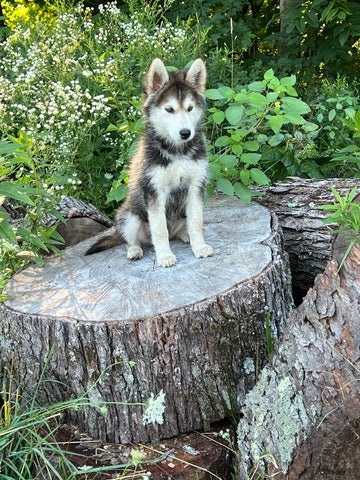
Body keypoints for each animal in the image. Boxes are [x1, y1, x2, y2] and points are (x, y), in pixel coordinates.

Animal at [85, 58, 214, 268]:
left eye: (190, 108)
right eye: (169, 109)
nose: (186, 133)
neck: (177, 152)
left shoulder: (196, 186)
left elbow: (196, 222)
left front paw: (200, 246)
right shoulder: (154, 191)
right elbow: (159, 229)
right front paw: (164, 256)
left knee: (178, 231)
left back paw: (184, 235)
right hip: (129, 217)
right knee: (128, 240)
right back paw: (134, 250)